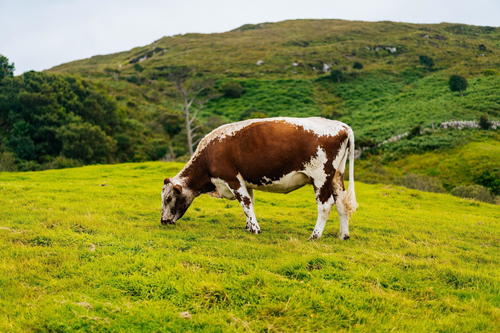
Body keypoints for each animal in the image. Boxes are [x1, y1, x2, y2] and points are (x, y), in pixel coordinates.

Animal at [162, 116, 358, 239]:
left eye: (168, 198)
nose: (163, 221)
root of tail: (342, 126)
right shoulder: (244, 181)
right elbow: (250, 203)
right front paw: (248, 226)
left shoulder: (232, 179)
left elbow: (246, 204)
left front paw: (255, 229)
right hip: (336, 176)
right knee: (341, 203)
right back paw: (343, 235)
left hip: (321, 177)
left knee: (325, 205)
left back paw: (315, 235)